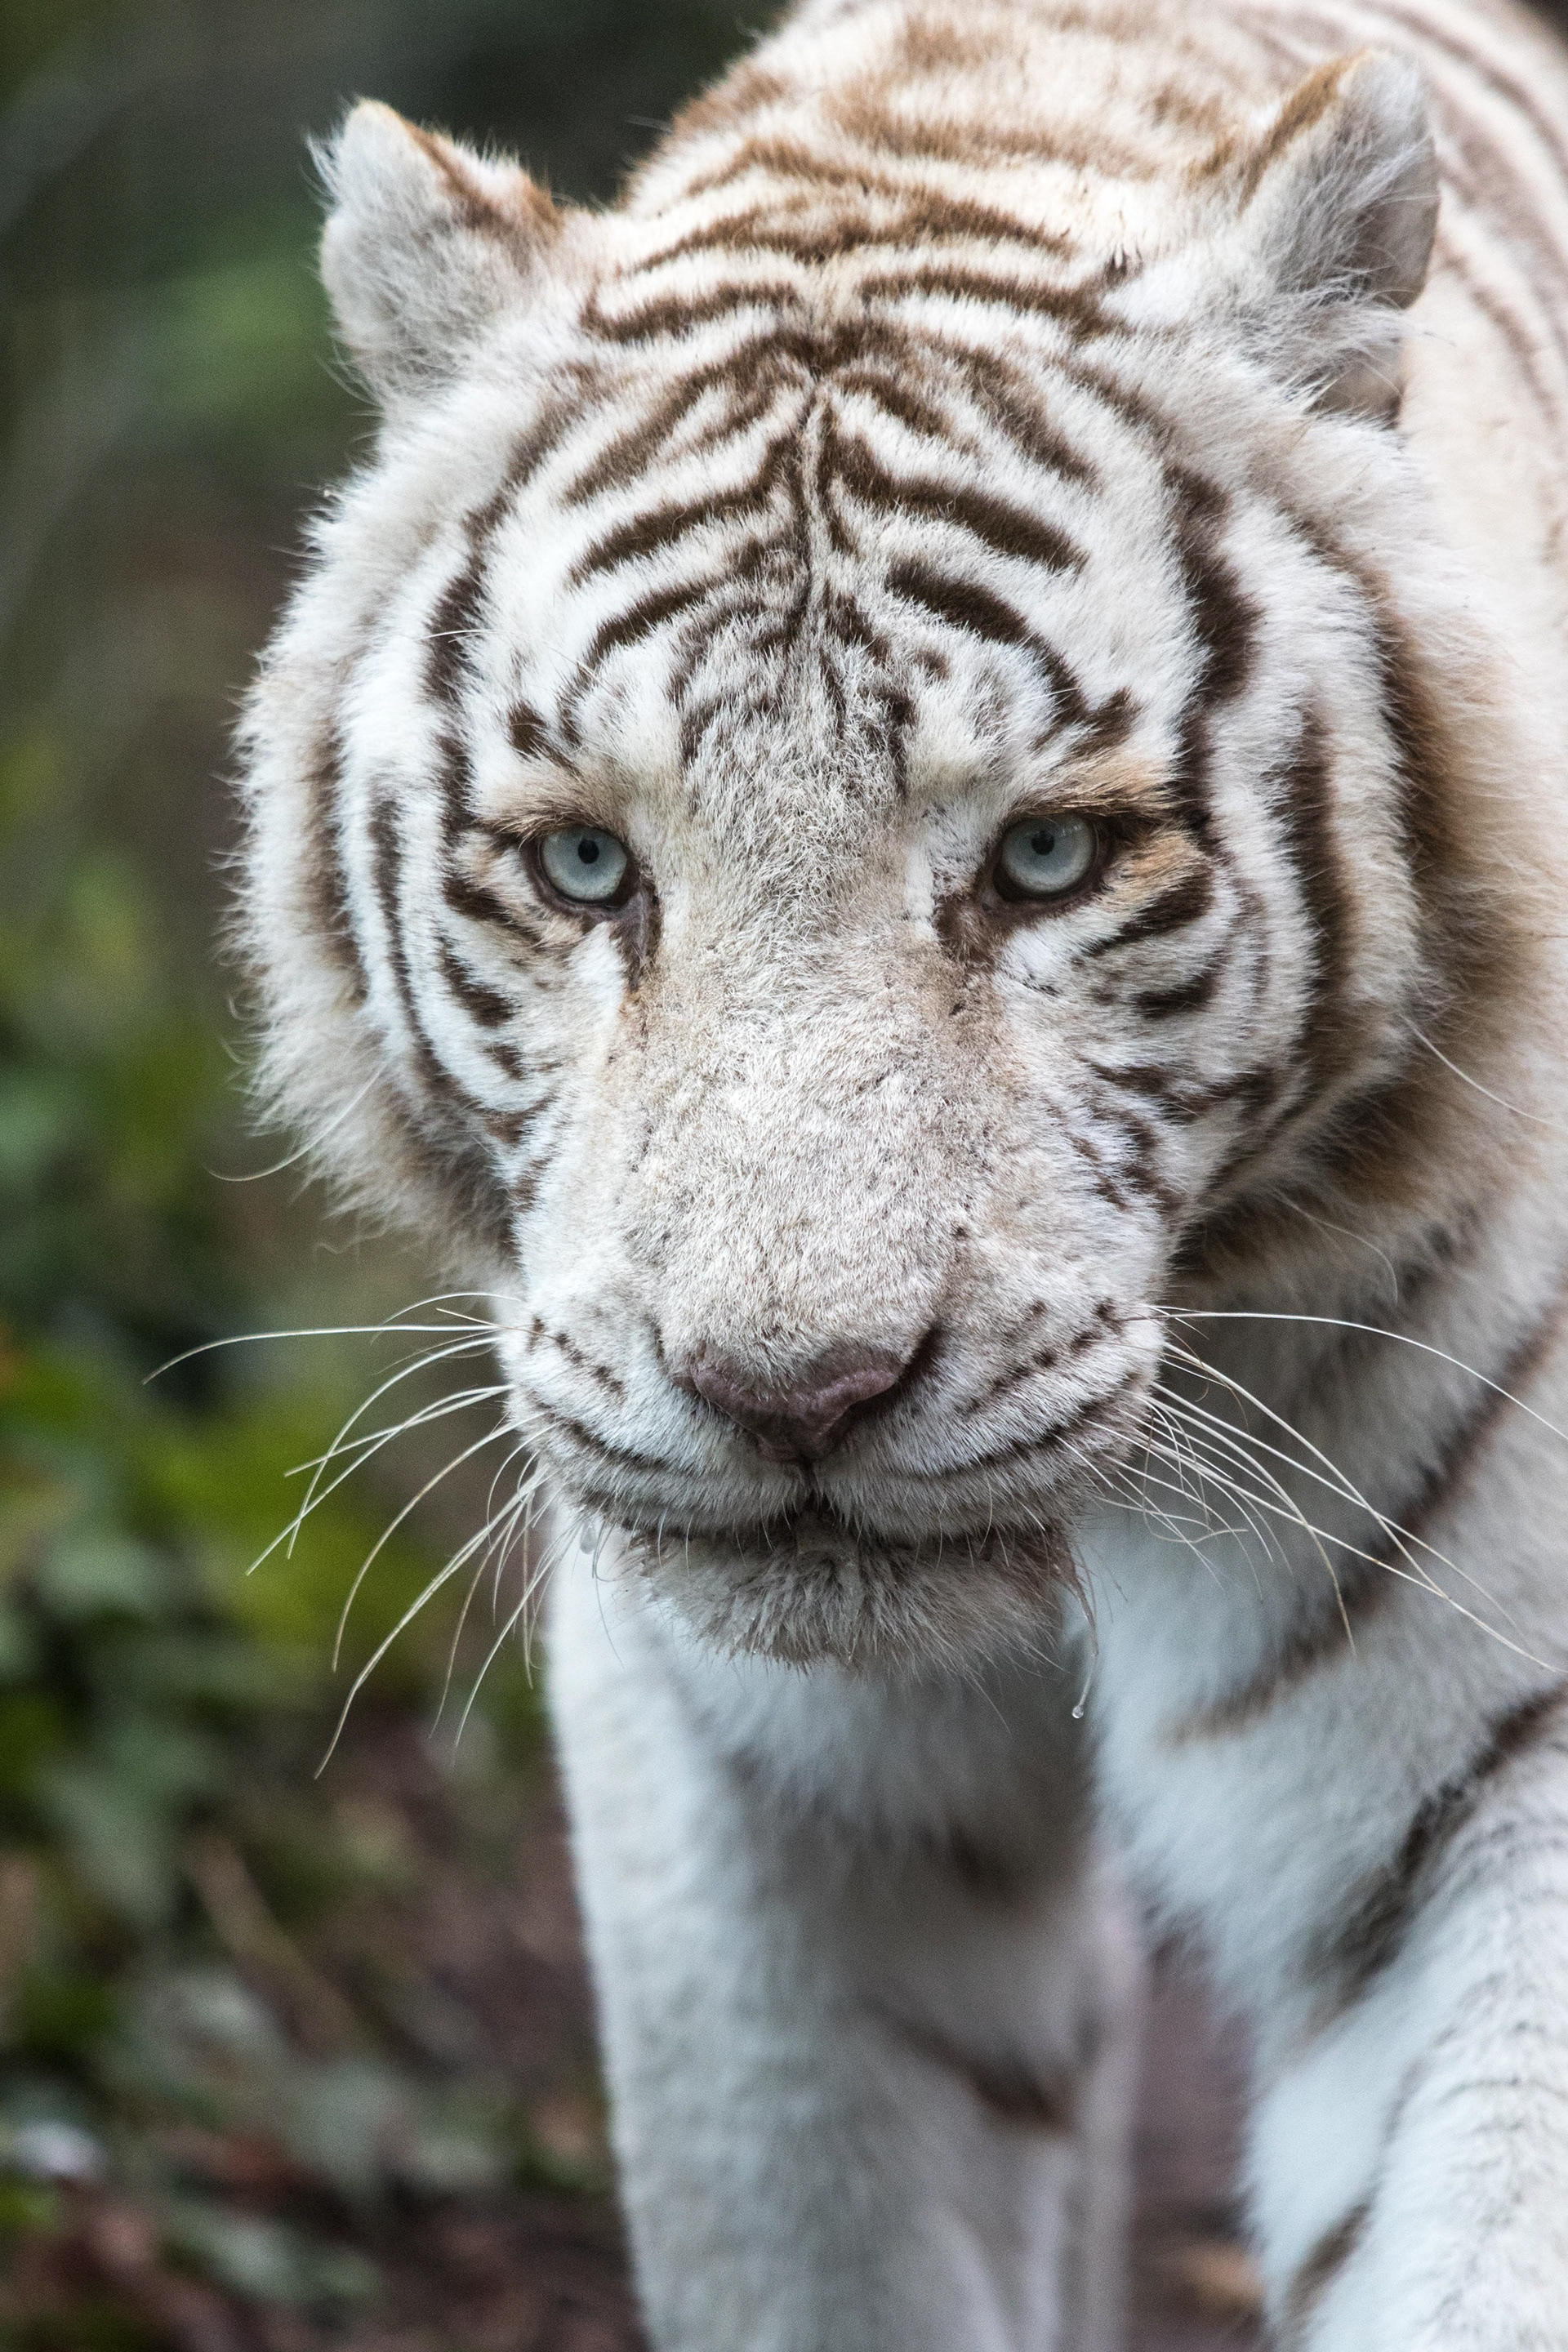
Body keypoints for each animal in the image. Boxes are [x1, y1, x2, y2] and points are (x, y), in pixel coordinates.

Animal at [237, 0, 1568, 2340]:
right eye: (587, 866)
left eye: (1044, 857)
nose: (793, 1397)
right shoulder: (729, 1766)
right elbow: (802, 2230)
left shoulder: (1518, 1761)